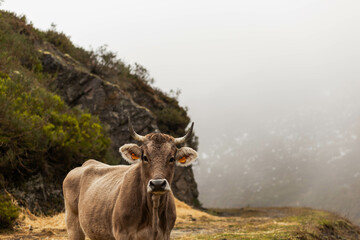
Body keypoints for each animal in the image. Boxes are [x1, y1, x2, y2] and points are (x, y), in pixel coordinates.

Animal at [62, 118, 197, 240]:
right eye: (144, 157)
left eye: (172, 158)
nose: (157, 184)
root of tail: (87, 163)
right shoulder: (122, 233)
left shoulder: (165, 234)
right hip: (73, 223)